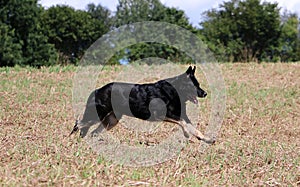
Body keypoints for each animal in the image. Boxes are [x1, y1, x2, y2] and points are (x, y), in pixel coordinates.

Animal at [70, 65, 216, 144]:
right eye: (194, 85)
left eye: (198, 84)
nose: (205, 93)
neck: (174, 91)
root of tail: (97, 90)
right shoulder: (163, 115)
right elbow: (183, 124)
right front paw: (186, 133)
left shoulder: (181, 115)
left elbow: (194, 128)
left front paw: (207, 139)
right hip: (97, 115)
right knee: (79, 124)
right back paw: (71, 141)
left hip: (112, 120)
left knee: (92, 132)